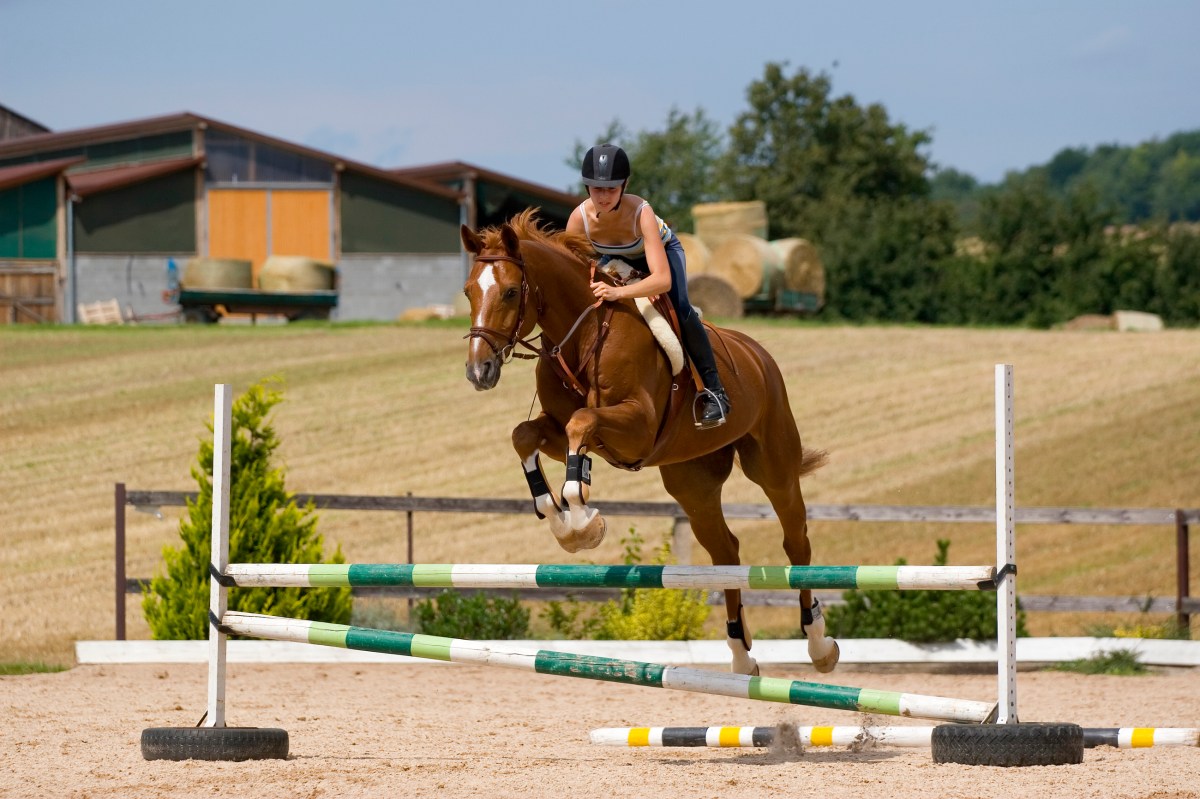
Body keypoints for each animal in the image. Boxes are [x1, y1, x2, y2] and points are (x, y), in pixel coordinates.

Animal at [459, 210, 837, 676]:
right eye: (469, 291)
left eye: (512, 291)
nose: (479, 370)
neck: (584, 333)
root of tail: (757, 353)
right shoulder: (561, 429)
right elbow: (526, 435)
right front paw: (559, 518)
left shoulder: (635, 426)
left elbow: (582, 425)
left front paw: (582, 520)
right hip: (692, 483)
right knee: (725, 551)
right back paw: (740, 654)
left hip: (773, 466)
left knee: (795, 541)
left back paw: (819, 645)